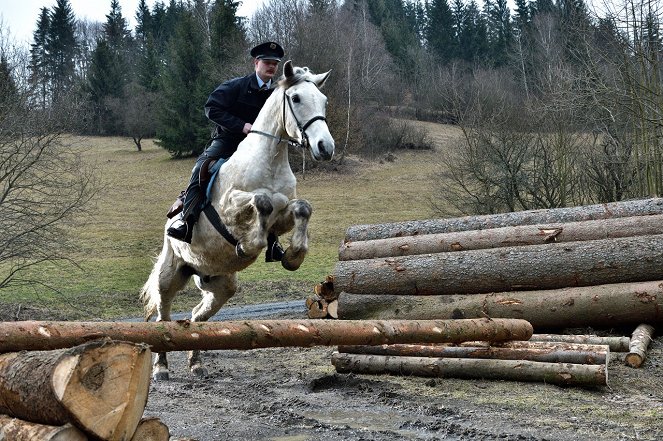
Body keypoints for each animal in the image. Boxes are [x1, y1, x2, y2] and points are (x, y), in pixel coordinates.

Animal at [142, 61, 334, 378]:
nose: (325, 148)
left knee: (196, 317)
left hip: (221, 285)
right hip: (170, 274)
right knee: (163, 317)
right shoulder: (229, 208)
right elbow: (261, 202)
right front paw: (248, 245)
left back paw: (196, 363)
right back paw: (161, 368)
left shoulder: (283, 216)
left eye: (324, 101)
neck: (270, 161)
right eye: (295, 98)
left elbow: (302, 208)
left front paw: (292, 256)